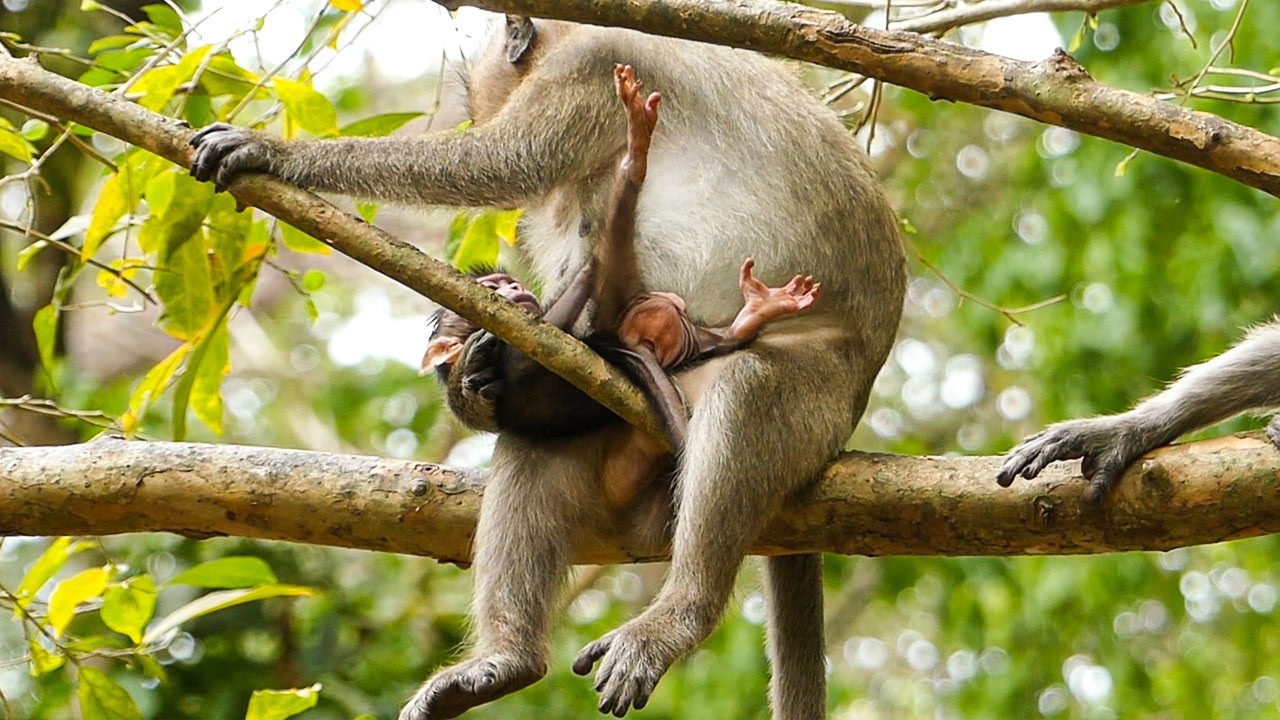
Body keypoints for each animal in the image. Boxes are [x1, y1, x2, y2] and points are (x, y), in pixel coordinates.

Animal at [189, 16, 905, 720]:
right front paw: (473, 378)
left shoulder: (588, 68)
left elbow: (499, 165)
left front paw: (273, 152)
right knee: (535, 446)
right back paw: (504, 663)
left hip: (811, 400)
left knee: (747, 398)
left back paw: (680, 615)